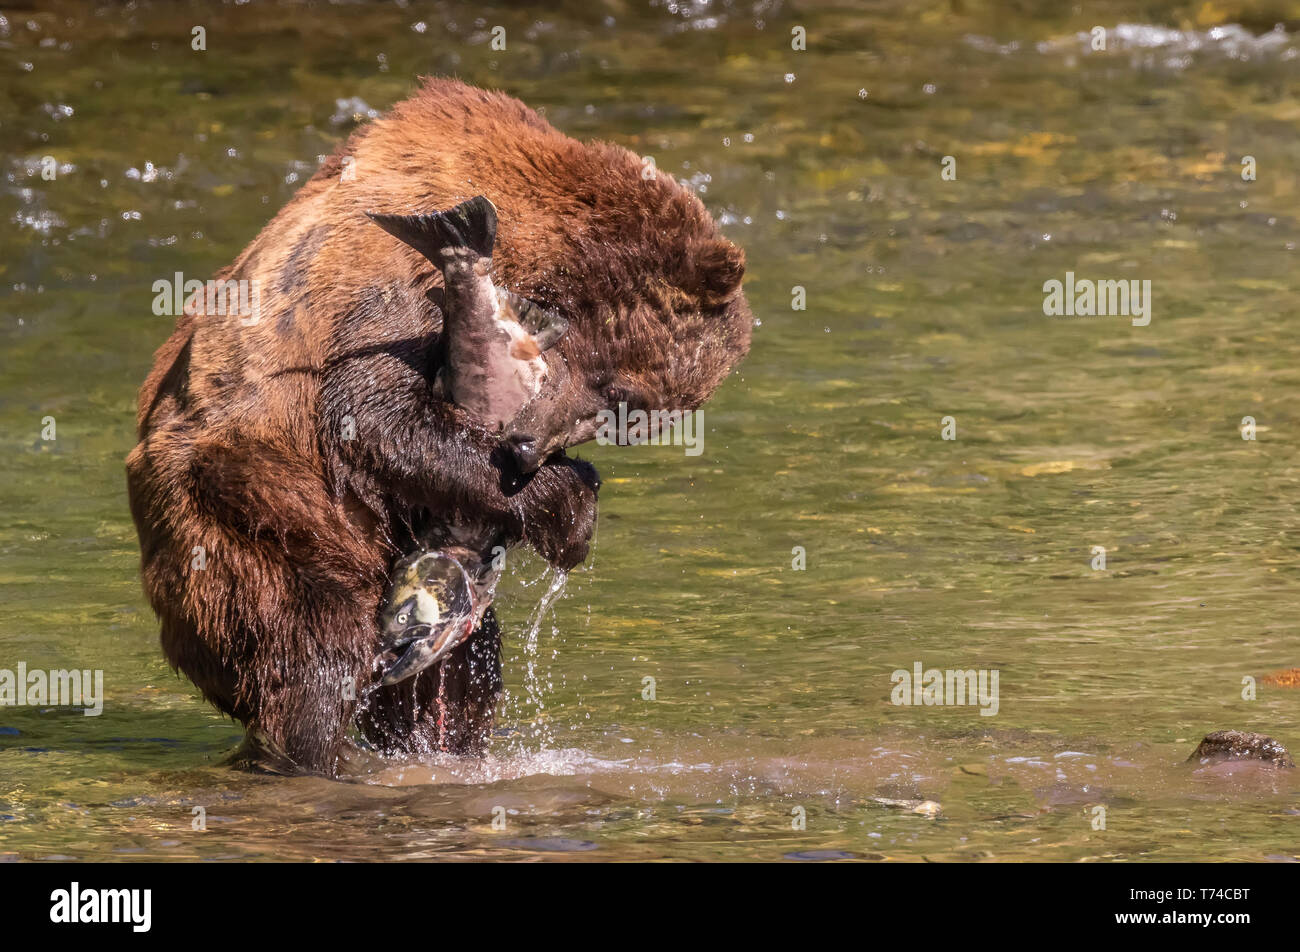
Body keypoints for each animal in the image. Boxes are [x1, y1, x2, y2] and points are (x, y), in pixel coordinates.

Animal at [124, 78, 754, 775]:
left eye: (629, 420)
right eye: (624, 400)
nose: (526, 447)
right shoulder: (386, 289)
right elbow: (375, 415)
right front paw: (568, 510)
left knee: (459, 673)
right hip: (256, 515)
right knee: (310, 658)